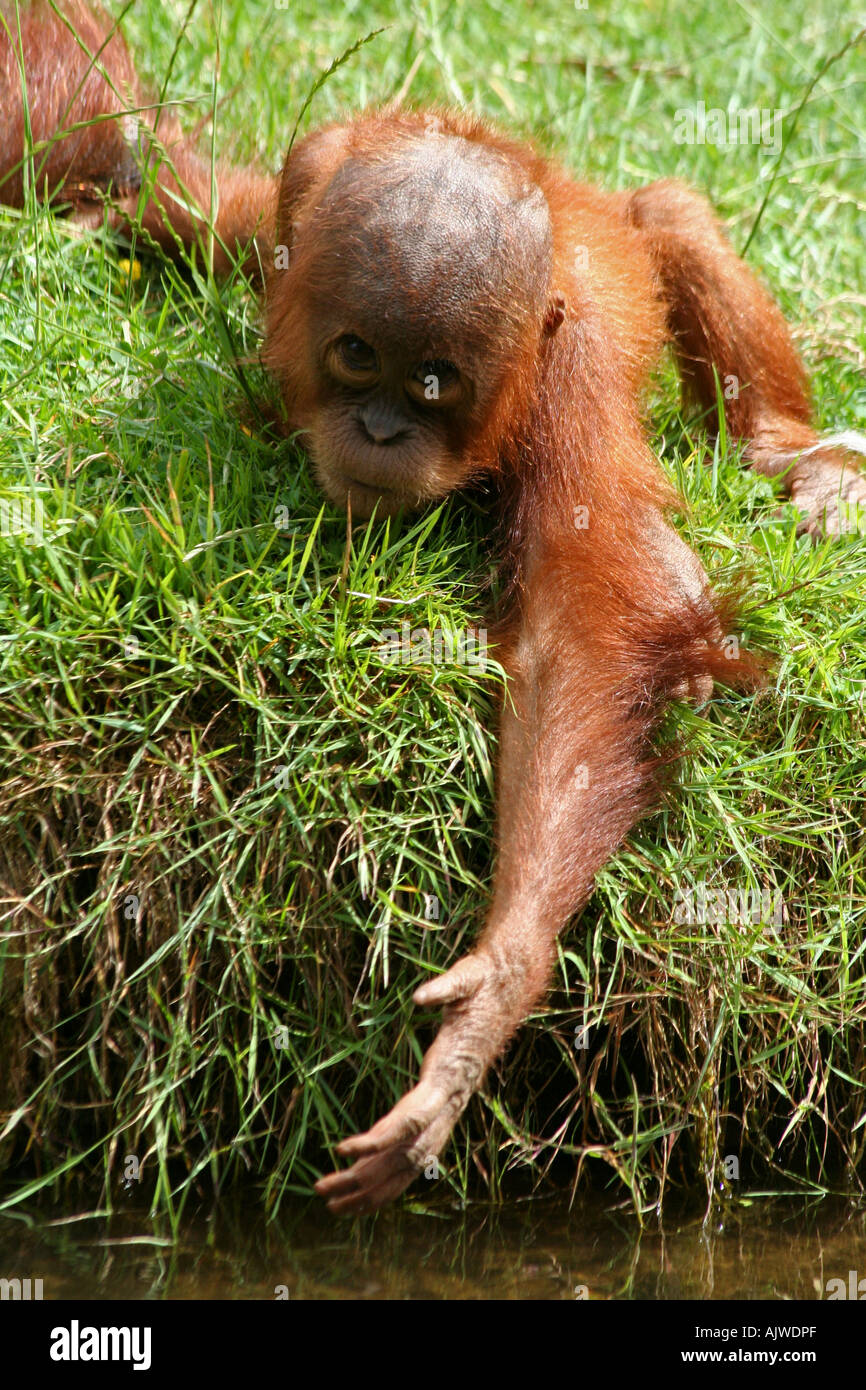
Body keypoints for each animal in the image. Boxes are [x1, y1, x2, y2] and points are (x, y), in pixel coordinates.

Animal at [3, 2, 864, 1214]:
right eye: (358, 354)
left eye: (431, 384)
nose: (377, 429)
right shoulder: (292, 259)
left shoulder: (566, 383)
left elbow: (585, 618)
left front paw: (487, 1003)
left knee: (673, 216)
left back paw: (790, 453)